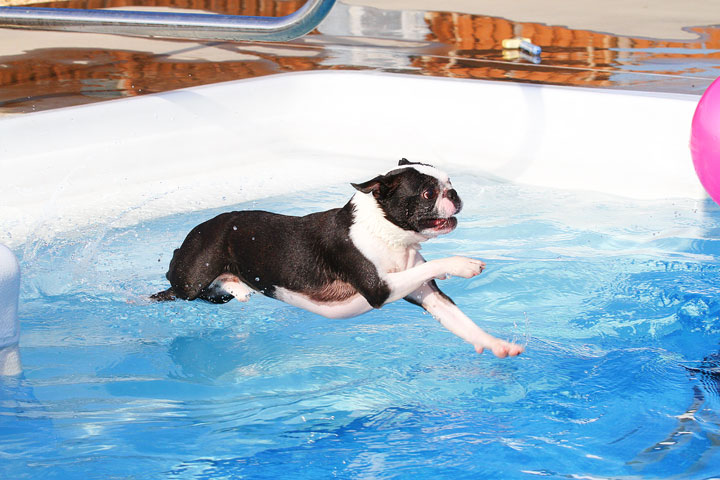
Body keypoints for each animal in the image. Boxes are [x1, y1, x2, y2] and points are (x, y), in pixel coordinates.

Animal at [152, 159, 524, 358]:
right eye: (428, 193)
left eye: (450, 182)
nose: (454, 193)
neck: (388, 234)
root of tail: (200, 228)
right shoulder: (379, 289)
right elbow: (437, 263)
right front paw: (462, 264)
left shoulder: (426, 294)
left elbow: (463, 323)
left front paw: (497, 345)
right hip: (192, 277)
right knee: (175, 282)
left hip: (218, 290)